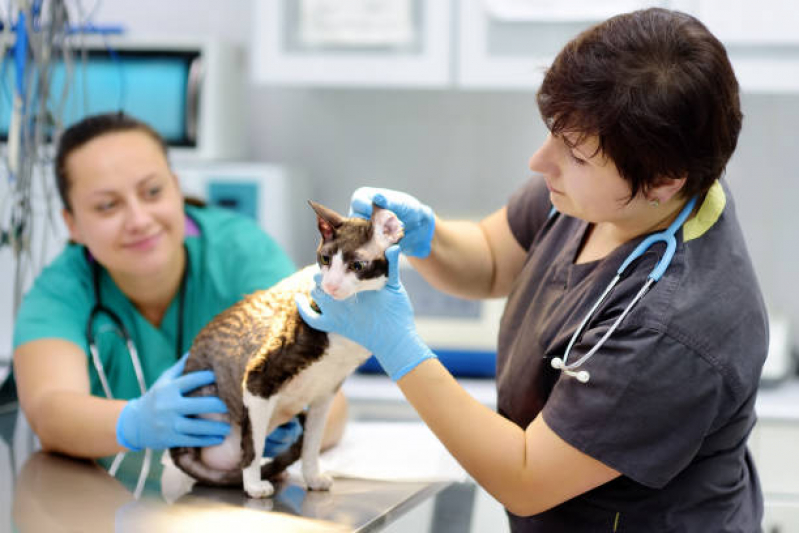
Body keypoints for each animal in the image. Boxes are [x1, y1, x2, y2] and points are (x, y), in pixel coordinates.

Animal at [161, 200, 406, 498]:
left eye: (357, 265)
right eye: (325, 259)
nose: (329, 286)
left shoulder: (326, 392)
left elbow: (312, 444)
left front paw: (312, 477)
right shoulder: (257, 380)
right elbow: (253, 448)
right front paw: (253, 485)